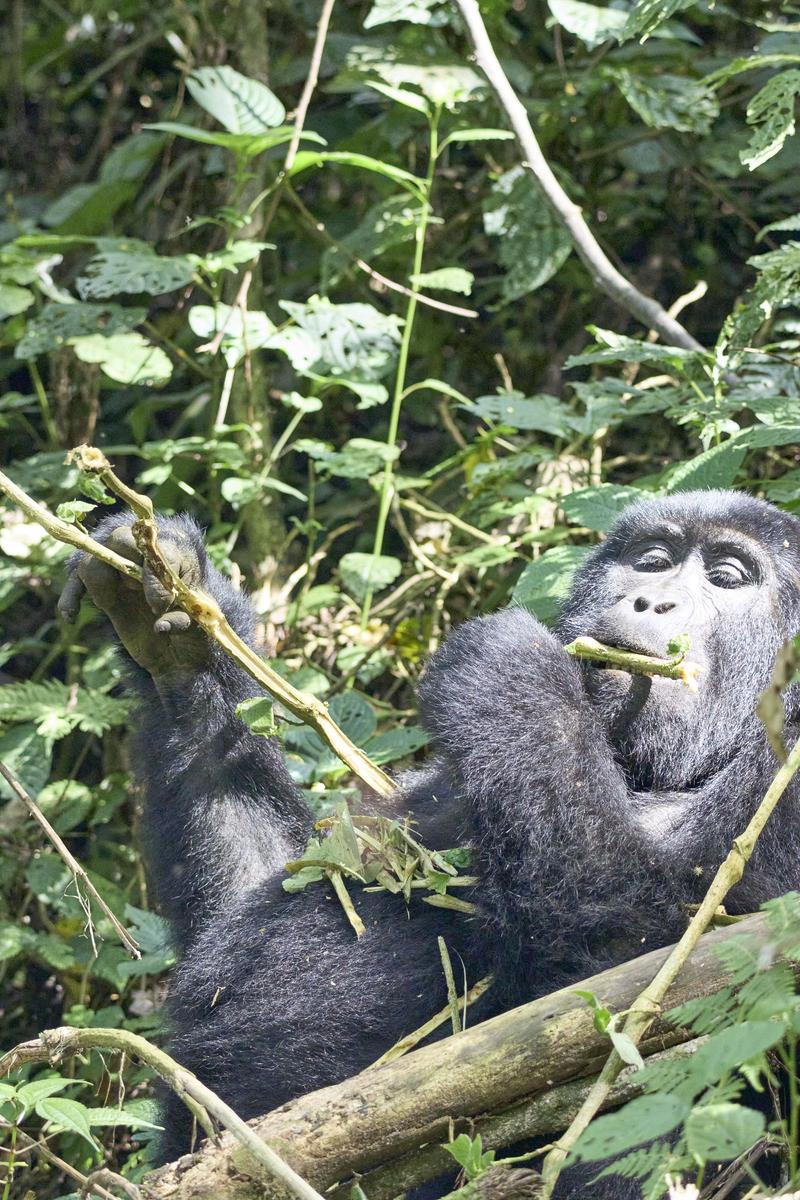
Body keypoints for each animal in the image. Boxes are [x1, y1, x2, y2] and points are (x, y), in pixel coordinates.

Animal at [59, 487, 800, 1190]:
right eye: (651, 560)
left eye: (727, 577)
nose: (649, 598)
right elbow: (282, 878)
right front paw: (178, 628)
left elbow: (650, 970)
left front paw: (516, 676)